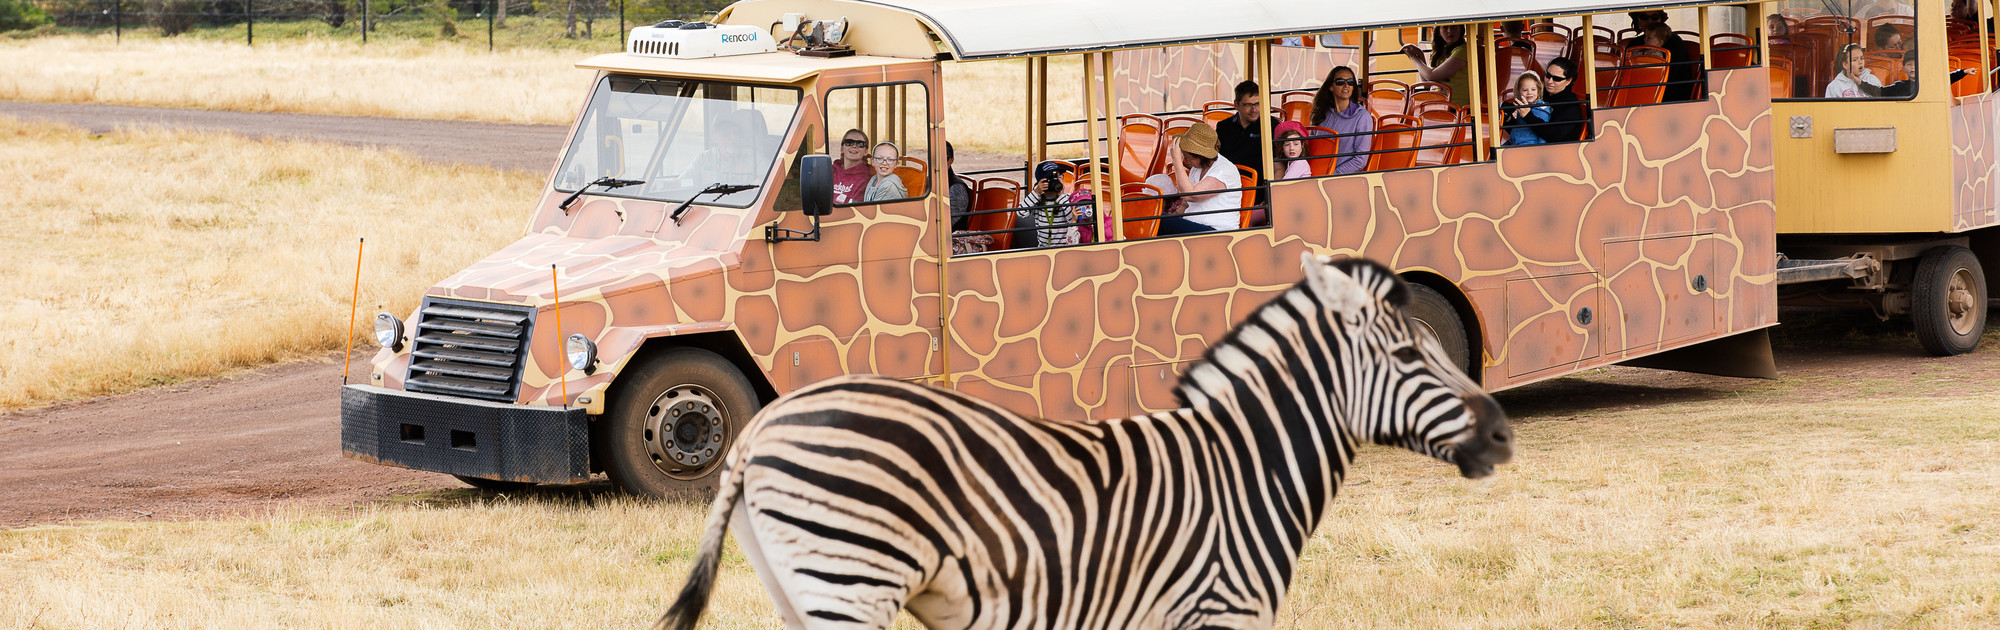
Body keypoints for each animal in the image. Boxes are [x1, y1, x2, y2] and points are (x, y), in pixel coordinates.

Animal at [655, 254, 1512, 630]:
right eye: (1412, 356)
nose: (1503, 434)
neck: (1248, 463)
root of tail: (757, 429)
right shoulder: (1223, 611)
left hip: (801, 582)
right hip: (850, 575)